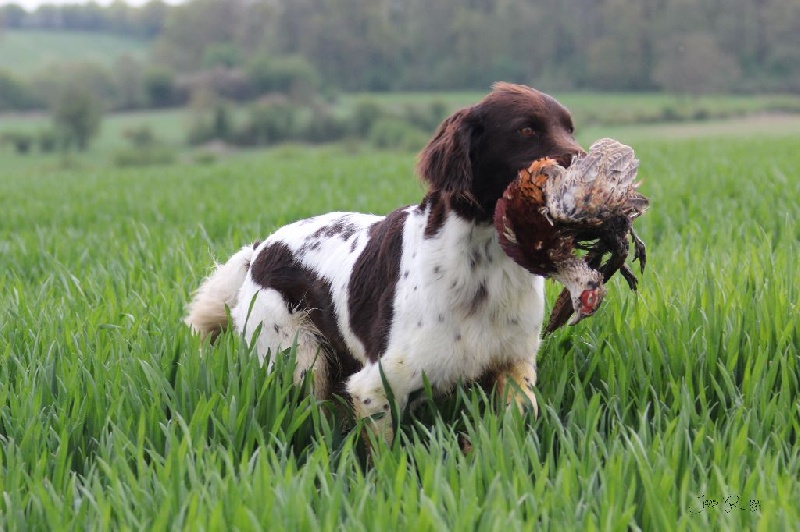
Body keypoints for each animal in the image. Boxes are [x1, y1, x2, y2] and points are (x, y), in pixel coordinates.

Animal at [184, 82, 580, 440]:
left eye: (570, 128)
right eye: (526, 130)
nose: (580, 159)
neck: (484, 266)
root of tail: (262, 248)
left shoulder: (513, 364)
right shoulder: (377, 385)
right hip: (297, 357)